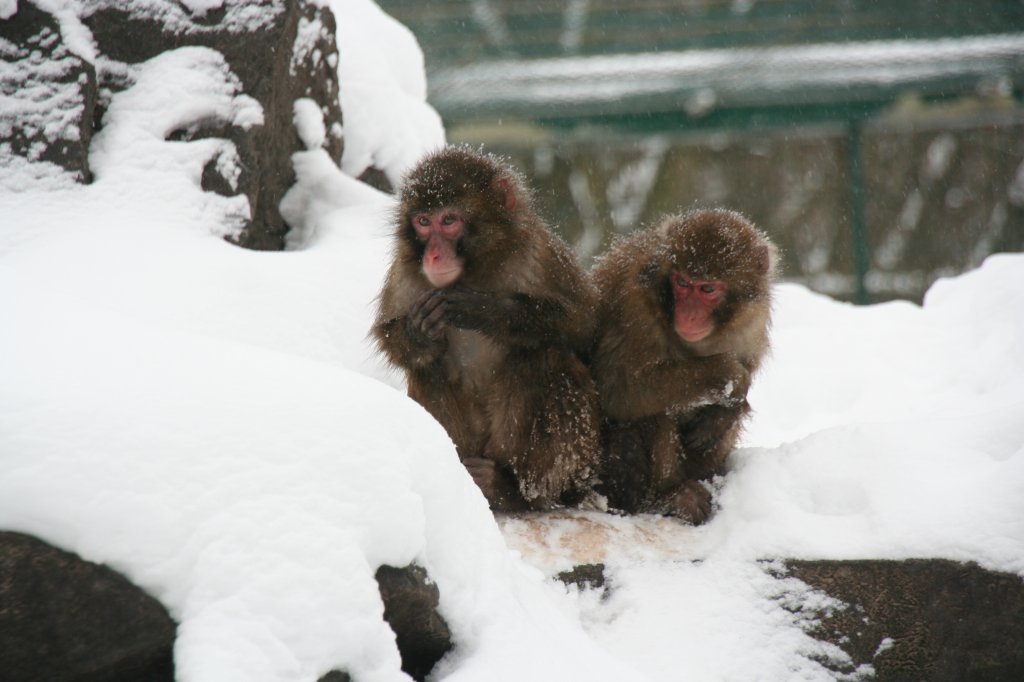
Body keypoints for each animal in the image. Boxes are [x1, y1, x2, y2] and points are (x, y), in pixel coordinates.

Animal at [374, 146, 598, 507]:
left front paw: (488, 310)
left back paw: (512, 489)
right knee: (426, 367)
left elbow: (584, 325)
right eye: (423, 222)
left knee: (543, 355)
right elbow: (391, 336)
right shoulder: (406, 271)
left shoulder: (536, 252)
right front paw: (418, 332)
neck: (474, 270)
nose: (433, 256)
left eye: (449, 221)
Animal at [593, 209, 774, 522]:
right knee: (653, 410)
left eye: (708, 288)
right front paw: (732, 375)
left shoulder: (753, 319)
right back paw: (666, 500)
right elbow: (619, 389)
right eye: (682, 283)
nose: (687, 315)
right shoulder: (633, 306)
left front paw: (724, 412)